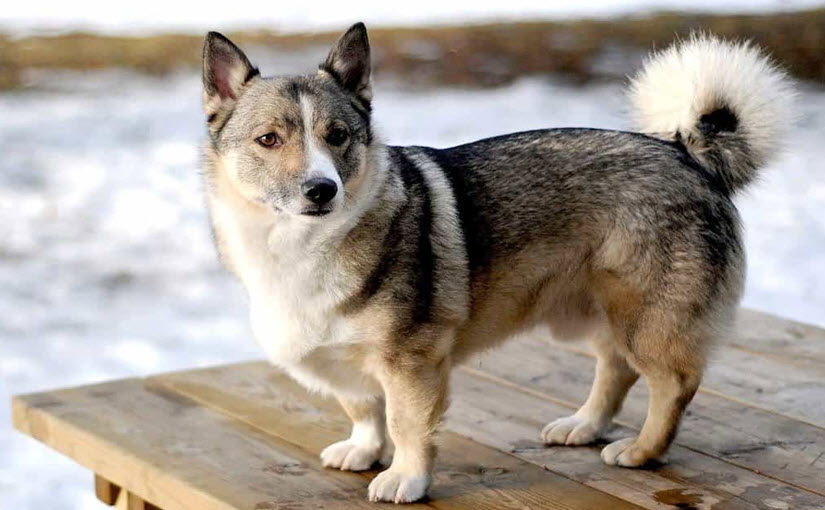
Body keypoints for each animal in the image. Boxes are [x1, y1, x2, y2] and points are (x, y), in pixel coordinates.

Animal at [198, 22, 792, 502]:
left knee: (673, 384)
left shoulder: (411, 362)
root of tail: (686, 153)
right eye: (269, 140)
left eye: (337, 136)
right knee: (615, 367)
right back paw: (584, 424)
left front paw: (406, 478)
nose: (322, 189)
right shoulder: (355, 364)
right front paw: (364, 450)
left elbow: (406, 424)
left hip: (645, 318)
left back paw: (642, 451)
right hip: (591, 312)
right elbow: (363, 409)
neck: (299, 244)